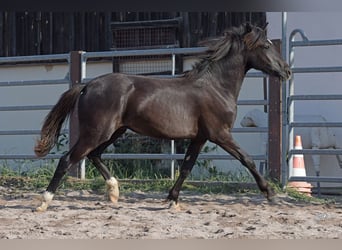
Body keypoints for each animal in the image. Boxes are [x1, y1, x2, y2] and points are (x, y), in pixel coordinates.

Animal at [34, 23, 292, 211]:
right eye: (266, 46)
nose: (287, 71)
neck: (216, 87)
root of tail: (87, 86)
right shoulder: (220, 134)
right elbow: (247, 159)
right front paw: (271, 194)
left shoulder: (200, 137)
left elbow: (186, 166)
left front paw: (172, 199)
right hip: (98, 131)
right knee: (67, 160)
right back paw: (44, 201)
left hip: (115, 131)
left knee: (94, 155)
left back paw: (114, 192)